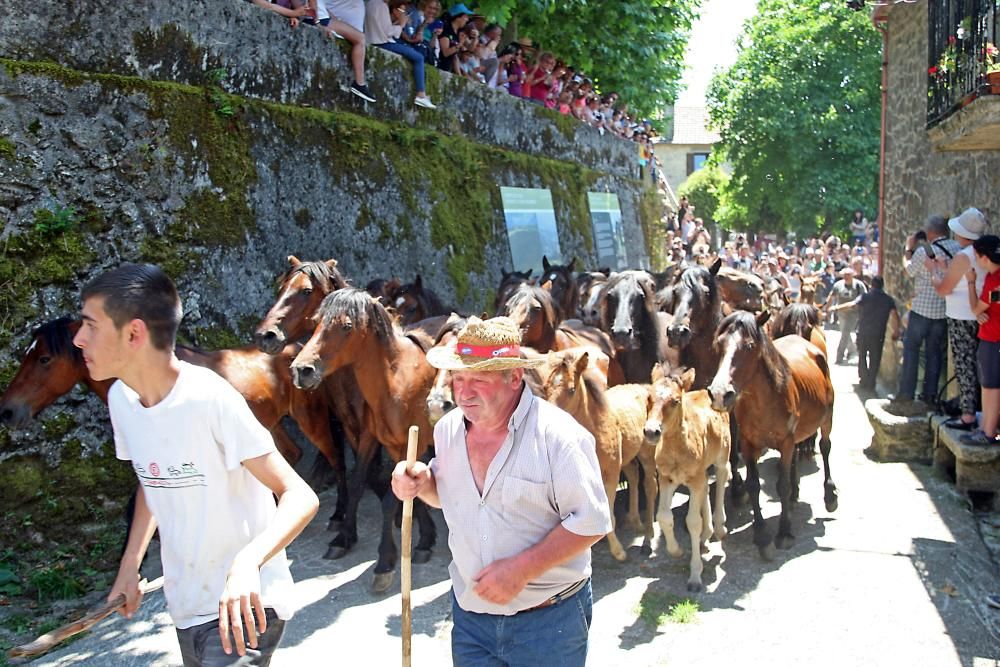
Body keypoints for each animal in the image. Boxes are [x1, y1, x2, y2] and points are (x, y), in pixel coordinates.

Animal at [290, 290, 438, 592]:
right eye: (316, 322)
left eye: (347, 326)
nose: (302, 370)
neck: (395, 381)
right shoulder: (379, 441)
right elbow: (361, 481)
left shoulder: (412, 444)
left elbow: (390, 499)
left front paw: (385, 562)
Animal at [708, 314, 840, 560]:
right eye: (719, 345)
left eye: (750, 346)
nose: (720, 394)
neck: (765, 402)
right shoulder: (748, 445)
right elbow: (753, 485)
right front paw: (762, 536)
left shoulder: (785, 443)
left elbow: (782, 485)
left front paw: (784, 532)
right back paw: (797, 493)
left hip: (827, 417)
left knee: (825, 447)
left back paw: (830, 495)